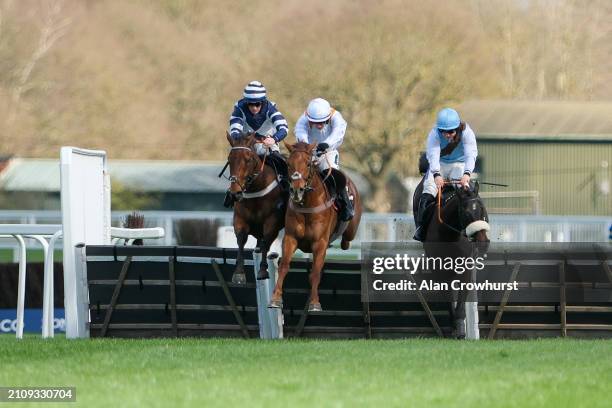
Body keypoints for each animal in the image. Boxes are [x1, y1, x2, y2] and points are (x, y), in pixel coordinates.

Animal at [225, 133, 286, 284]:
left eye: (248, 160)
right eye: (229, 159)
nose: (235, 193)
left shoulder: (272, 221)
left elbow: (266, 241)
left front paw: (263, 270)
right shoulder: (240, 218)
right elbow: (241, 239)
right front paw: (239, 272)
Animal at [268, 142, 364, 310]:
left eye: (308, 163)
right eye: (289, 164)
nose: (296, 190)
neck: (308, 204)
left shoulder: (320, 243)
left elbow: (316, 272)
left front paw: (314, 302)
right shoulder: (290, 238)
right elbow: (284, 265)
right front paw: (275, 298)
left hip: (351, 229)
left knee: (346, 241)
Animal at [414, 178, 490, 338]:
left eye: (482, 208)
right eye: (466, 213)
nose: (483, 242)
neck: (449, 235)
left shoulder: (466, 265)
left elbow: (461, 295)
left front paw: (460, 327)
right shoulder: (439, 269)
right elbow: (448, 296)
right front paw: (454, 326)